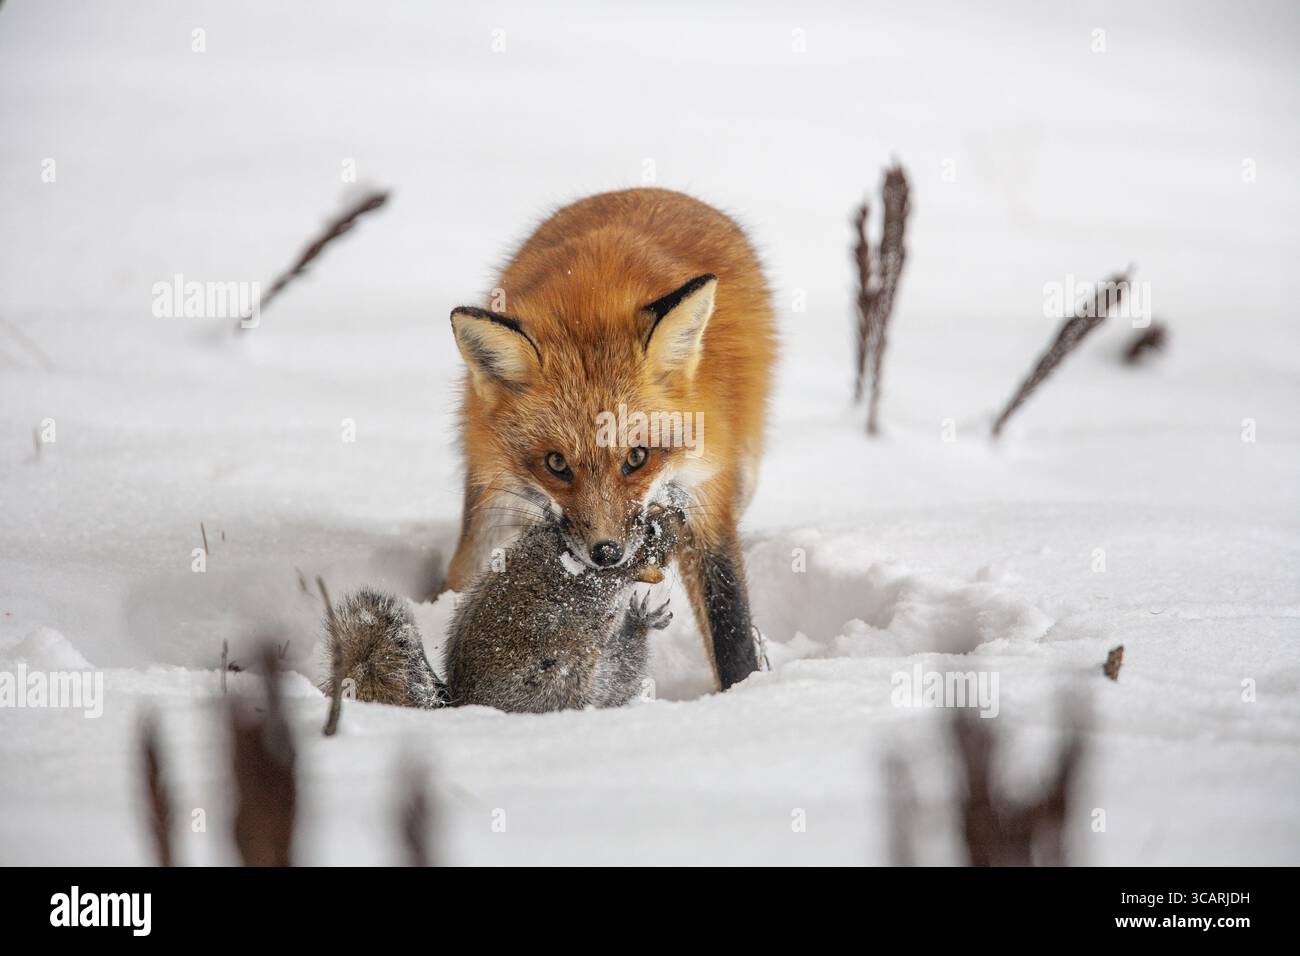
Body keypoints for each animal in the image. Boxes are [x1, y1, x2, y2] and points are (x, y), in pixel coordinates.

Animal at [445, 188, 776, 691]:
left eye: (637, 457)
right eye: (556, 464)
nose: (606, 553)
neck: (590, 302)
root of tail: (650, 192)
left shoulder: (706, 496)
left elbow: (729, 624)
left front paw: (744, 693)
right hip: (491, 495)